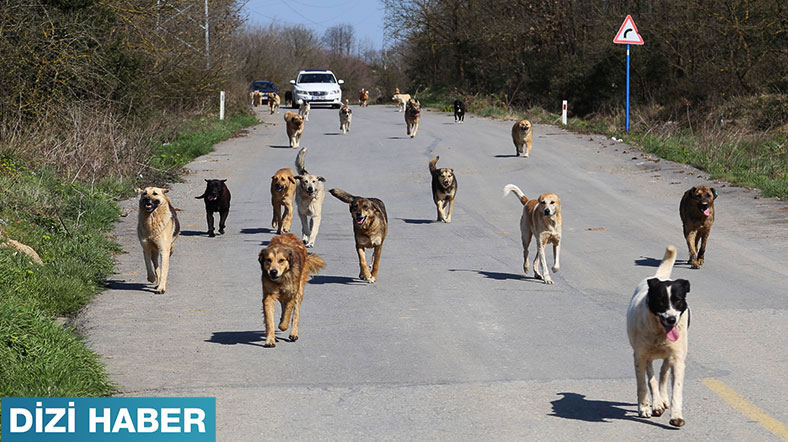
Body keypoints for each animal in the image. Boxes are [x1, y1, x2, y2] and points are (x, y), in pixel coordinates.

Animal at [628, 245, 688, 428]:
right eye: (661, 301)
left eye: (678, 301)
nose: (671, 319)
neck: (660, 331)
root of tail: (660, 276)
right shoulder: (640, 356)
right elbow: (643, 383)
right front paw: (645, 407)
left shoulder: (677, 358)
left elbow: (676, 388)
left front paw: (676, 416)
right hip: (646, 354)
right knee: (652, 377)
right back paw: (656, 403)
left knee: (663, 373)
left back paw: (663, 400)